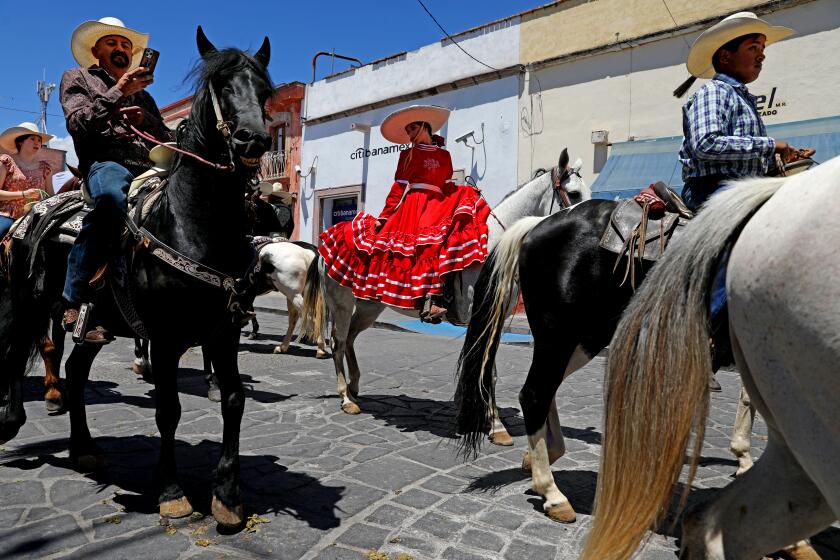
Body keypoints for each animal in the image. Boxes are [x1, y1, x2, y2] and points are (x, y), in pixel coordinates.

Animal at [0, 28, 272, 528]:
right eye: (221, 86)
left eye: (264, 91)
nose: (253, 141)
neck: (191, 225)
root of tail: (32, 213)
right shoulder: (164, 339)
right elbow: (168, 410)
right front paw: (171, 492)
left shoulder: (223, 333)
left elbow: (234, 400)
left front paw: (227, 495)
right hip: (26, 302)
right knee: (16, 353)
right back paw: (12, 421)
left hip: (95, 323)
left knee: (74, 370)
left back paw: (84, 449)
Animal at [304, 149, 592, 446]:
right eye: (574, 193)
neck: (496, 246)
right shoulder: (482, 316)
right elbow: (486, 370)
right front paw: (495, 425)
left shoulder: (495, 319)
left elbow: (485, 369)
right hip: (341, 304)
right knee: (338, 343)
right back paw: (346, 398)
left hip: (369, 307)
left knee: (350, 339)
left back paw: (354, 387)